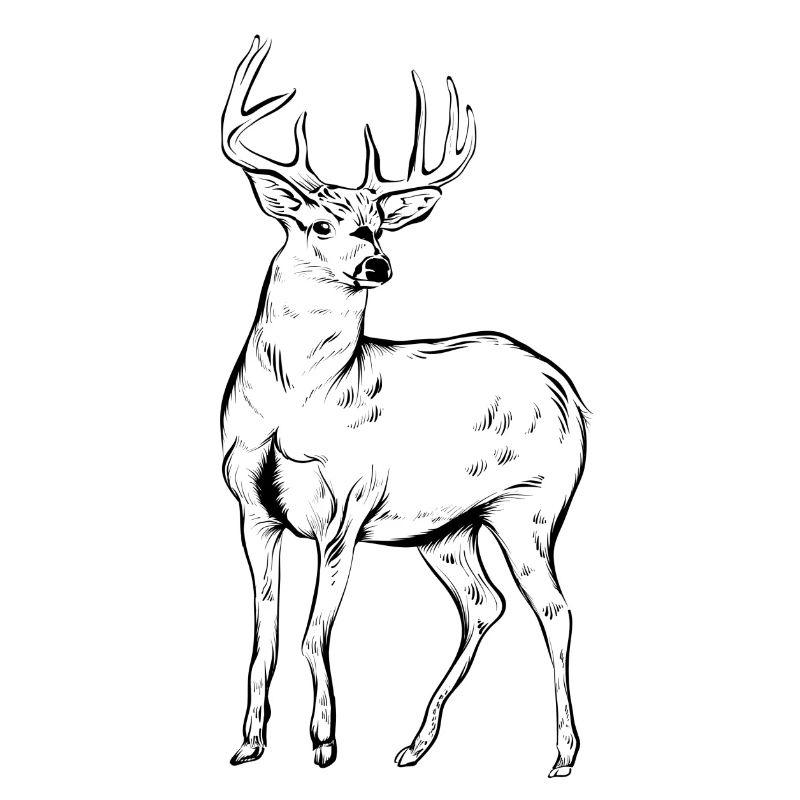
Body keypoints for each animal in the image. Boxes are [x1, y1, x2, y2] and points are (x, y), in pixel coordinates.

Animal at [219, 36, 589, 778]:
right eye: (319, 222)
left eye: (381, 226)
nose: (377, 266)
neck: (296, 406)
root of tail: (571, 393)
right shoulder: (252, 509)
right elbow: (265, 635)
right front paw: (249, 742)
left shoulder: (347, 505)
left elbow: (312, 634)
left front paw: (324, 743)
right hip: (447, 527)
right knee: (485, 605)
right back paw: (415, 744)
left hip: (532, 505)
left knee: (555, 610)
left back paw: (563, 754)